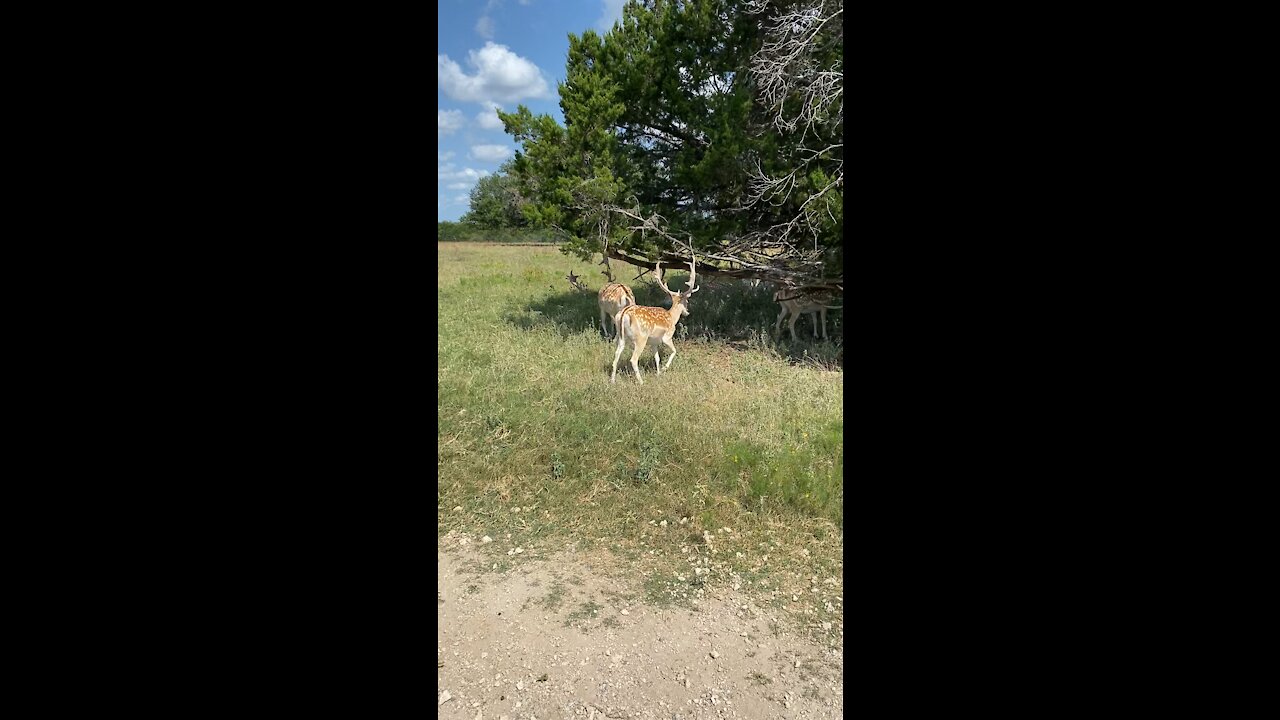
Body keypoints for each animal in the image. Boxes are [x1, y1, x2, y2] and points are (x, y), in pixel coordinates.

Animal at [609, 256, 701, 384]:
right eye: (687, 301)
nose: (687, 312)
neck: (671, 317)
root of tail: (624, 314)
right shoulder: (667, 336)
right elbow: (674, 351)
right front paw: (664, 369)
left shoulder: (654, 342)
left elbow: (657, 358)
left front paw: (658, 374)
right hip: (641, 338)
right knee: (633, 359)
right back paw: (641, 382)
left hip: (621, 337)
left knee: (616, 355)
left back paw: (612, 381)